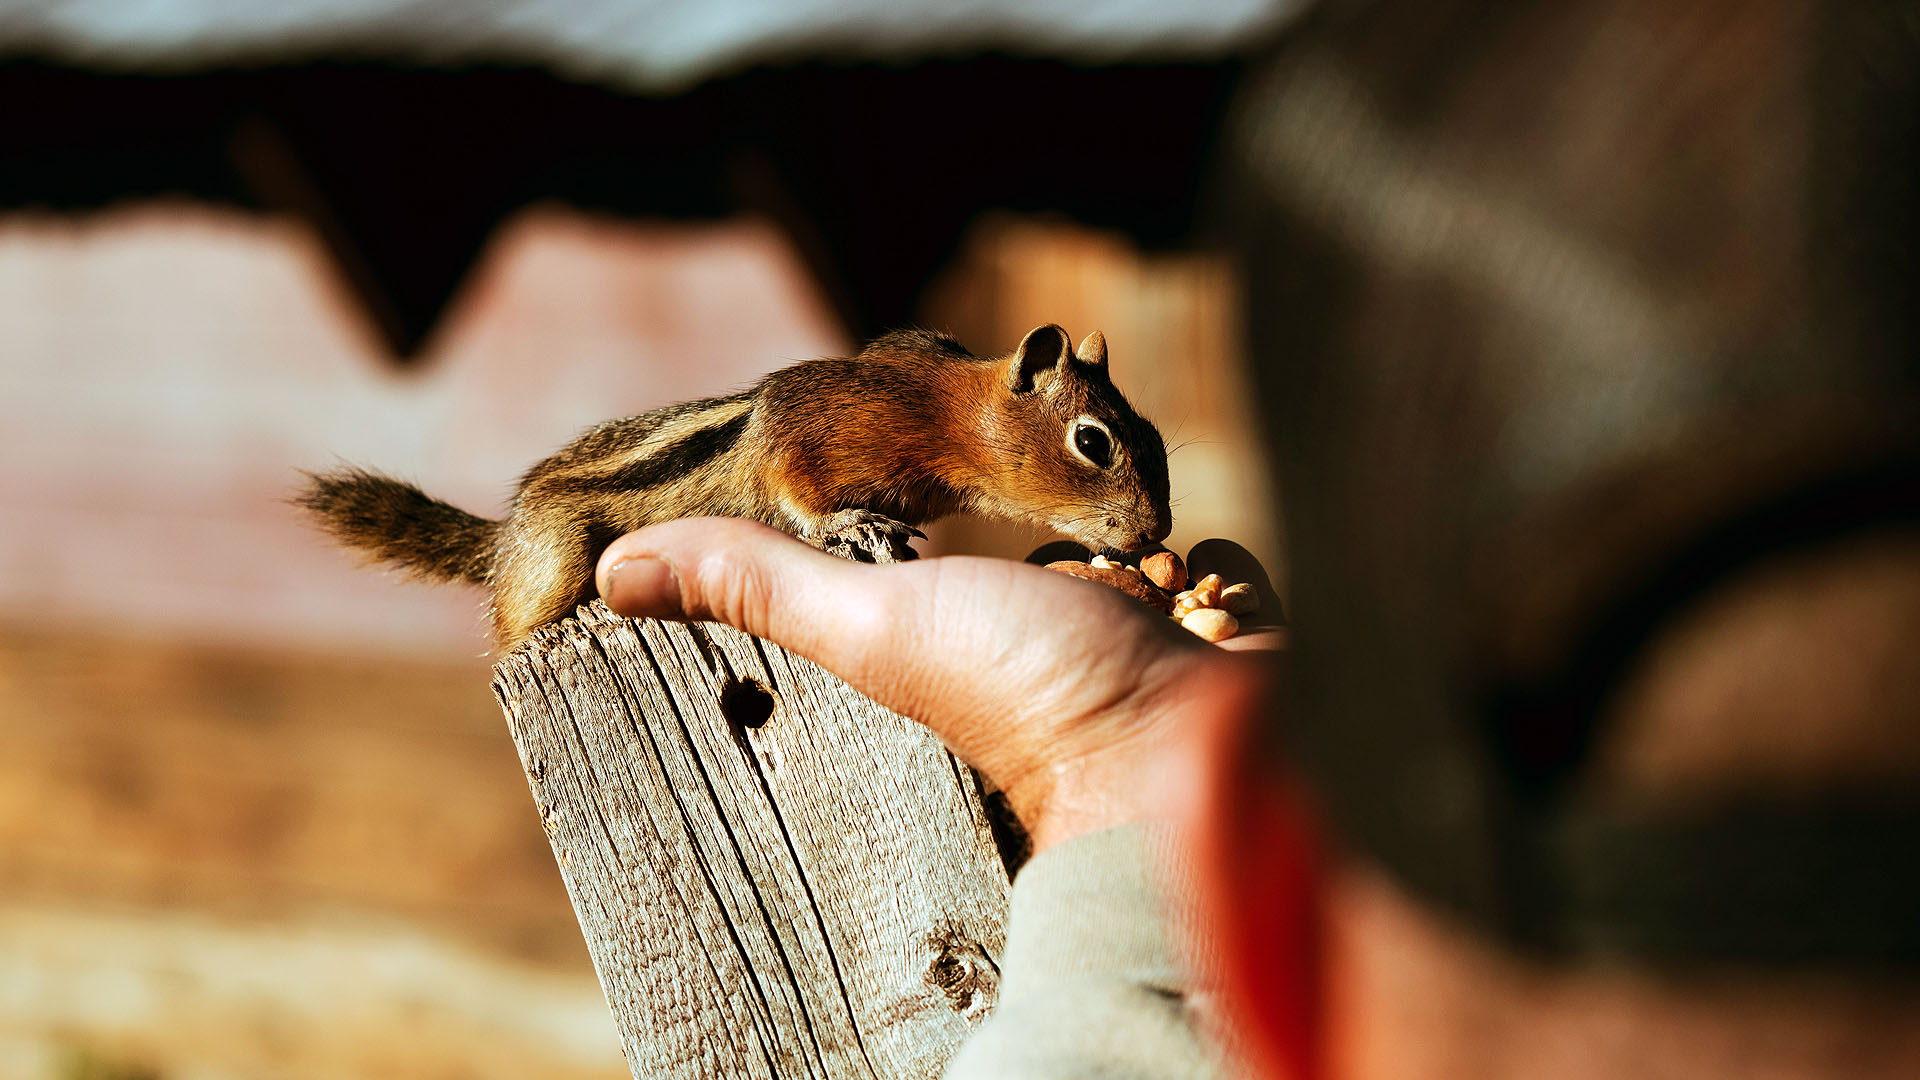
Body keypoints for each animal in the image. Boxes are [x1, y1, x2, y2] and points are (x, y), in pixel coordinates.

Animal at [298, 323, 1172, 651]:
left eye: (1157, 437)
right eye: (1093, 442)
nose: (1155, 532)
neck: (945, 415)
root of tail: (504, 537)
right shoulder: (813, 428)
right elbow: (797, 482)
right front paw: (853, 524)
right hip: (554, 559)